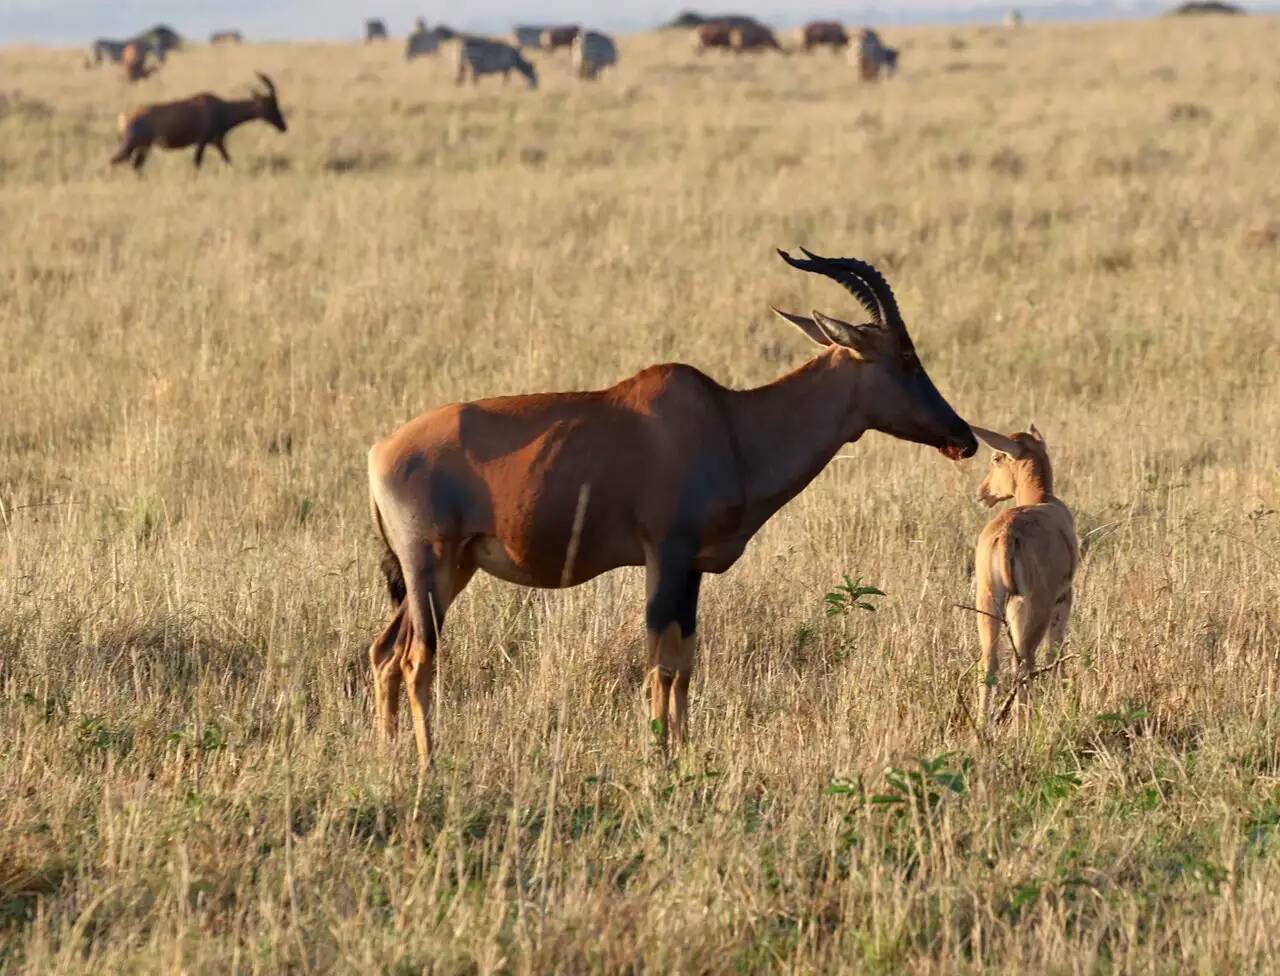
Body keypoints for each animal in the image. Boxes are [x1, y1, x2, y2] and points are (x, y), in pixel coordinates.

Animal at [110, 71, 288, 171]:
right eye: (271, 104)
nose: (283, 127)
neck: (219, 106)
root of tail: (123, 117)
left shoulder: (216, 142)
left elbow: (228, 160)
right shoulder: (202, 142)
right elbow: (197, 162)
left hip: (143, 148)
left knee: (136, 167)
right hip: (131, 146)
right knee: (113, 162)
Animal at [366, 244, 972, 768]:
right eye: (907, 357)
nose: (963, 437)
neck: (728, 422)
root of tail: (380, 451)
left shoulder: (693, 568)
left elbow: (684, 661)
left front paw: (682, 750)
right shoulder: (665, 553)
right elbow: (659, 659)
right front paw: (656, 757)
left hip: (454, 570)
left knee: (385, 651)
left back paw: (389, 756)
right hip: (429, 564)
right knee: (417, 658)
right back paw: (427, 763)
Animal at [972, 425, 1075, 722]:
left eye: (996, 458)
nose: (982, 493)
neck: (1042, 501)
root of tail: (1008, 533)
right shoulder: (1064, 598)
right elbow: (1055, 650)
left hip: (989, 603)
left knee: (990, 662)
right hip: (1033, 607)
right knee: (1025, 661)